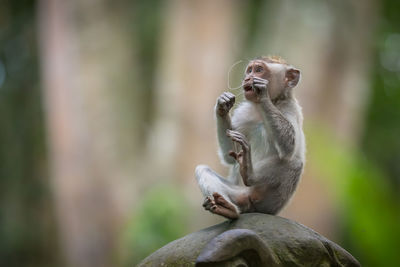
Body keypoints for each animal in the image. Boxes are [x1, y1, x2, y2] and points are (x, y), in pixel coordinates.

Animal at [195, 56, 304, 220]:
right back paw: (228, 209)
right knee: (203, 170)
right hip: (237, 194)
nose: (248, 78)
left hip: (271, 203)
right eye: (249, 70)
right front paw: (222, 106)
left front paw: (262, 93)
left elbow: (289, 147)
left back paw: (249, 174)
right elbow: (230, 156)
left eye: (259, 70)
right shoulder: (244, 113)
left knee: (295, 162)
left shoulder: (291, 108)